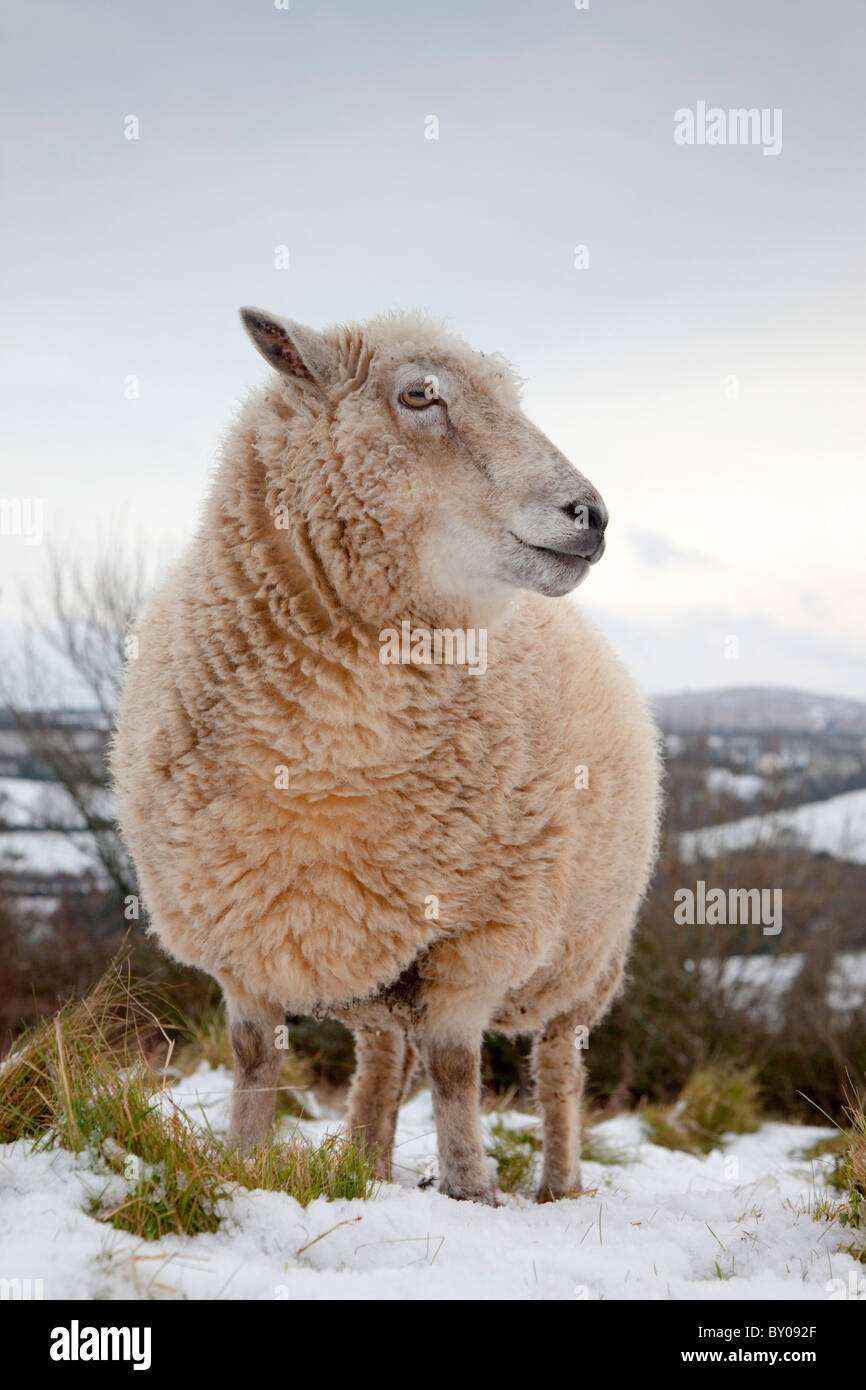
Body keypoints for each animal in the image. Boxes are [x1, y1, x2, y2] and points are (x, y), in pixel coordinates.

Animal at [111, 309, 661, 1200]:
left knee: (555, 1071)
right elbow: (255, 1060)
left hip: (587, 963)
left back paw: (555, 1184)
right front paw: (243, 1169)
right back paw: (365, 1163)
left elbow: (456, 1067)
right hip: (371, 964)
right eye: (419, 395)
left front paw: (472, 1191)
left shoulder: (480, 935)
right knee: (383, 1063)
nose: (593, 516)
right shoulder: (237, 932)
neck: (330, 752)